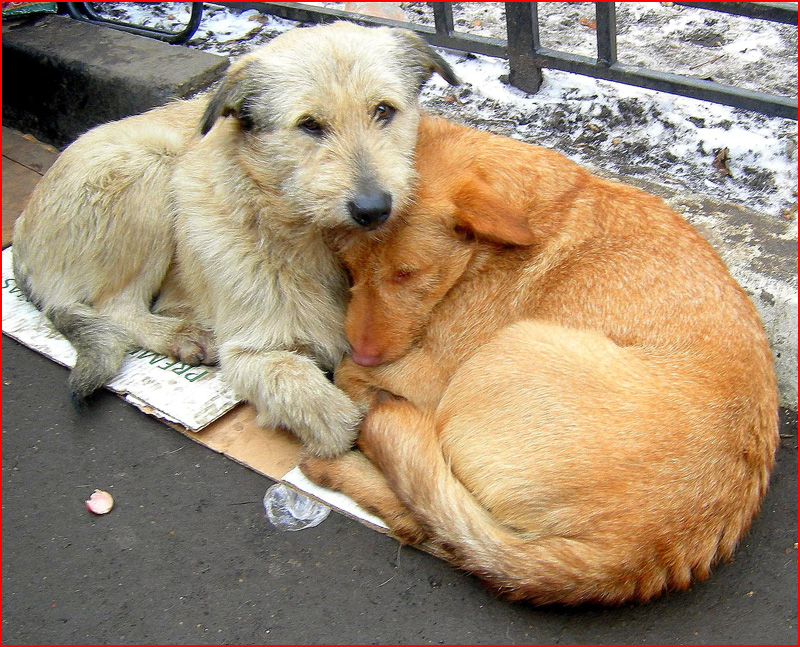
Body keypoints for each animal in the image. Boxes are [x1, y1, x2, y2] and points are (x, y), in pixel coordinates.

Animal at [12, 22, 456, 458]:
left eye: (383, 110)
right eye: (309, 124)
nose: (373, 209)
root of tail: (20, 232)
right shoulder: (249, 353)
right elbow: (322, 408)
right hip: (150, 164)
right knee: (116, 308)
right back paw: (179, 334)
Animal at [304, 115, 780, 604]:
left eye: (407, 273)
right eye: (348, 265)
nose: (363, 348)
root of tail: (632, 554)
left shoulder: (433, 372)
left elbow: (349, 372)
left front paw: (355, 382)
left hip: (507, 350)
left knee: (427, 502)